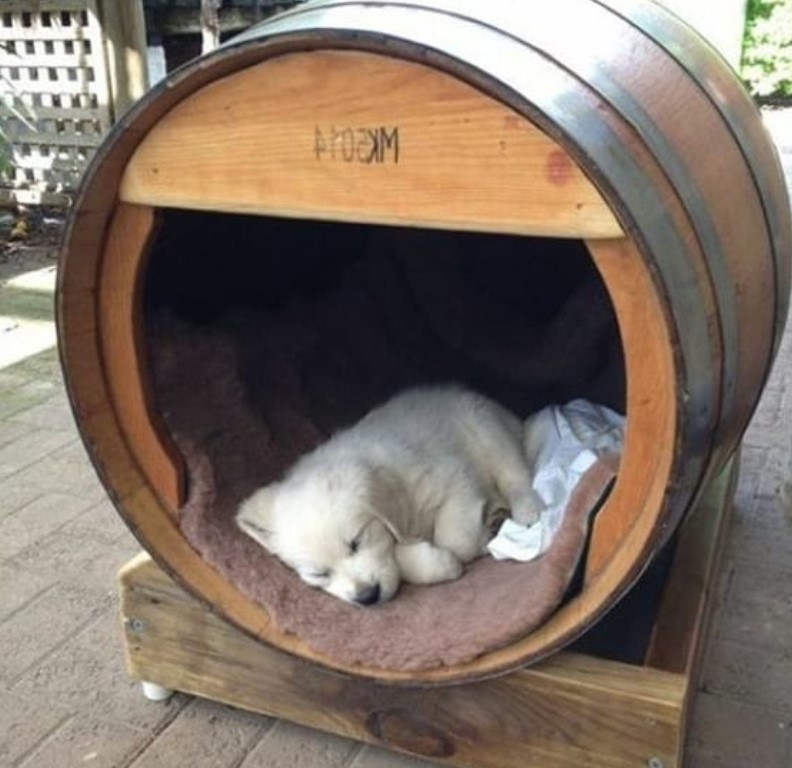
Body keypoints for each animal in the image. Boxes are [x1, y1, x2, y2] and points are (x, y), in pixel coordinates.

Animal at [235, 388, 544, 604]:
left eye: (356, 543)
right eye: (319, 574)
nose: (367, 597)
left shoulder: (453, 478)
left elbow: (456, 542)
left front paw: (470, 547)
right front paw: (434, 561)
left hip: (486, 427)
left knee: (516, 474)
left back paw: (525, 511)